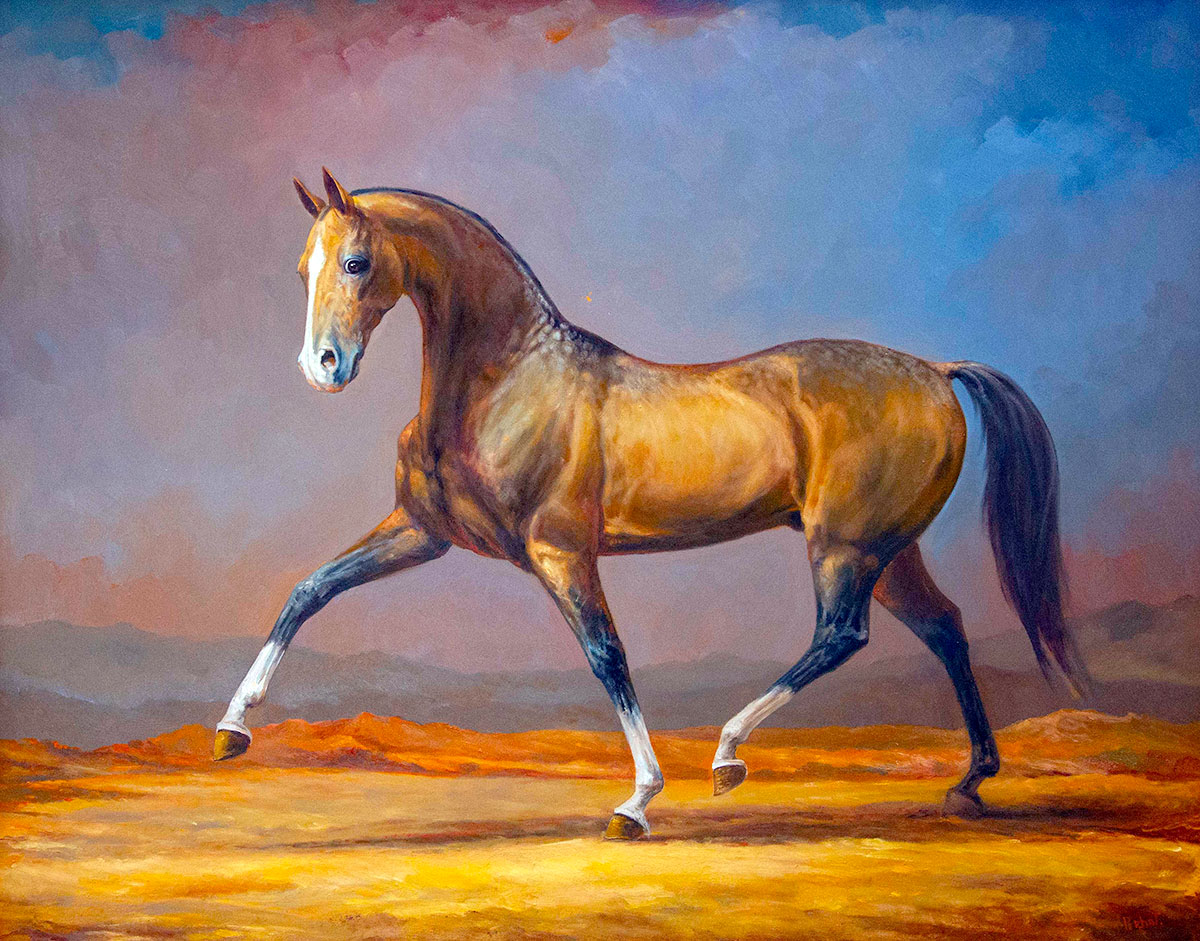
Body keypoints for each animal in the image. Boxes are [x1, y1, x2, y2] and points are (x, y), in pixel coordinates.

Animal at [214, 168, 1087, 839]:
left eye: (358, 261)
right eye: (304, 268)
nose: (323, 365)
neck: (506, 383)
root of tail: (936, 370)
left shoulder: (561, 553)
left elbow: (608, 656)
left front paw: (635, 803)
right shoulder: (423, 532)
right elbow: (310, 589)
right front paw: (232, 729)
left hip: (845, 546)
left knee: (843, 634)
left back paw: (729, 755)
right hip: (891, 550)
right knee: (945, 627)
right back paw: (969, 781)